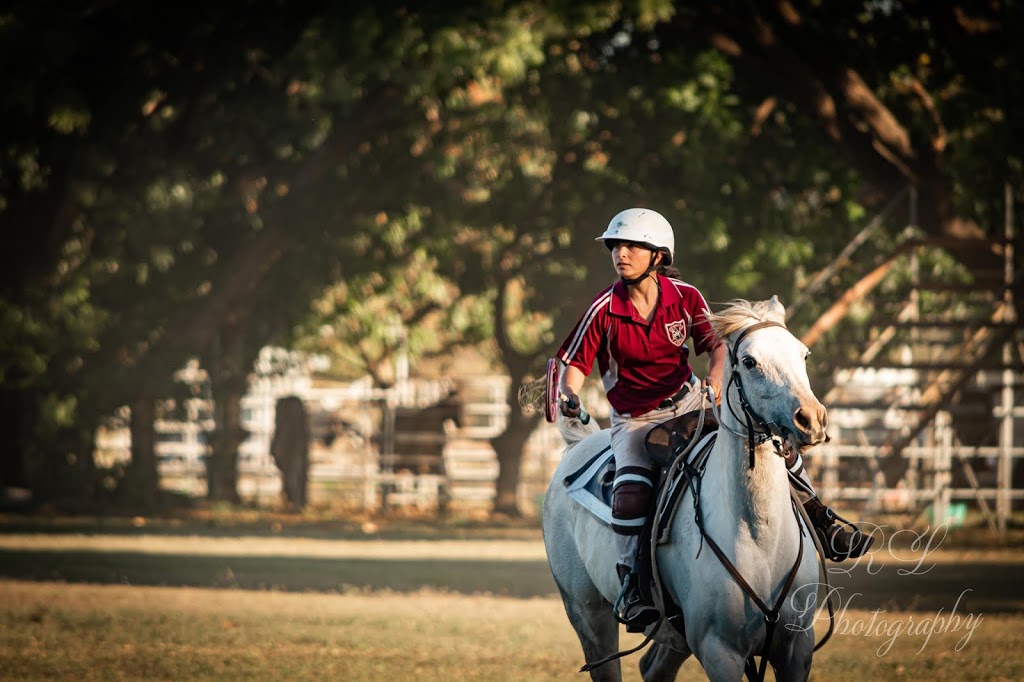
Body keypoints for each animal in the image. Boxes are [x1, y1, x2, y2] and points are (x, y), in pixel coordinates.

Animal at [544, 296, 823, 679]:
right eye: (749, 362)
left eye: (804, 355)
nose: (810, 419)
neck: (759, 538)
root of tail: (579, 443)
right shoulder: (719, 651)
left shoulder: (798, 645)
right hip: (588, 614)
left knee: (652, 667)